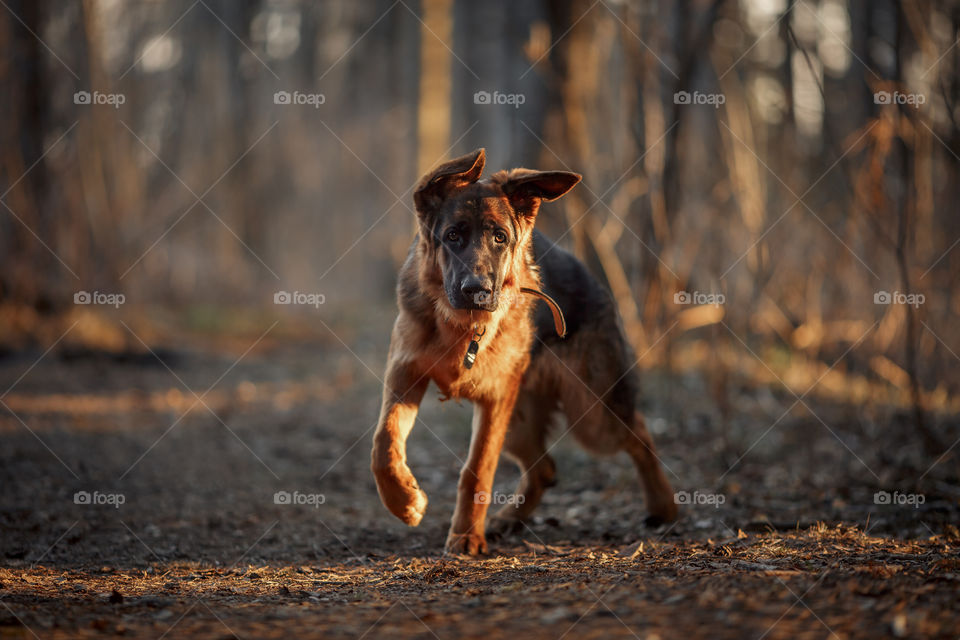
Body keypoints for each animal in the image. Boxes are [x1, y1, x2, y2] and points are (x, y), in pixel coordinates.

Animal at [368, 148, 676, 552]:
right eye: (452, 236)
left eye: (500, 238)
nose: (477, 290)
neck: (462, 327)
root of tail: (588, 274)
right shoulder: (403, 375)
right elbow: (384, 443)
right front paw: (405, 501)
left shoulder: (495, 399)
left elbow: (478, 468)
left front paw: (466, 536)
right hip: (521, 422)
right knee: (545, 469)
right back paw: (510, 519)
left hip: (590, 415)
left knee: (639, 432)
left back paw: (664, 506)